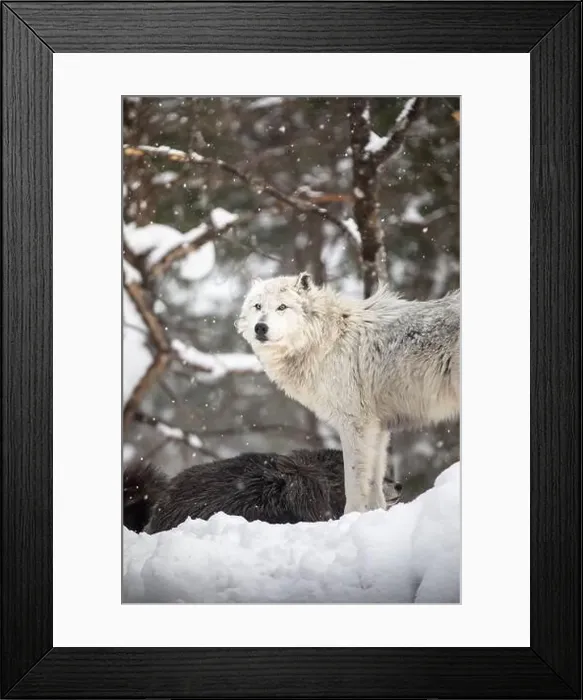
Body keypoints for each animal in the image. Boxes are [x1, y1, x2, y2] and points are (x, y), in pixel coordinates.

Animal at [237, 273, 460, 513]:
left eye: (282, 307)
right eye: (258, 306)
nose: (260, 327)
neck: (327, 341)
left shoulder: (355, 423)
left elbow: (352, 484)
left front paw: (351, 516)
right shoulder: (378, 427)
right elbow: (374, 484)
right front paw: (373, 514)